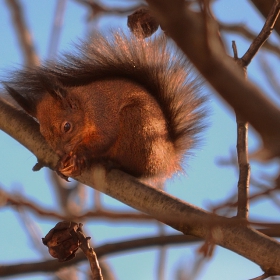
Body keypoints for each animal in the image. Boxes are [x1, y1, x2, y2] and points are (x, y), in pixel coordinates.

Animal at [4, 32, 205, 182]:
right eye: (43, 134)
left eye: (67, 126)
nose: (61, 152)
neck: (86, 107)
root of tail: (167, 157)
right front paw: (63, 163)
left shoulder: (104, 115)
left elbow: (105, 138)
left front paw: (78, 156)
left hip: (138, 125)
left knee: (137, 170)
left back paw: (112, 163)